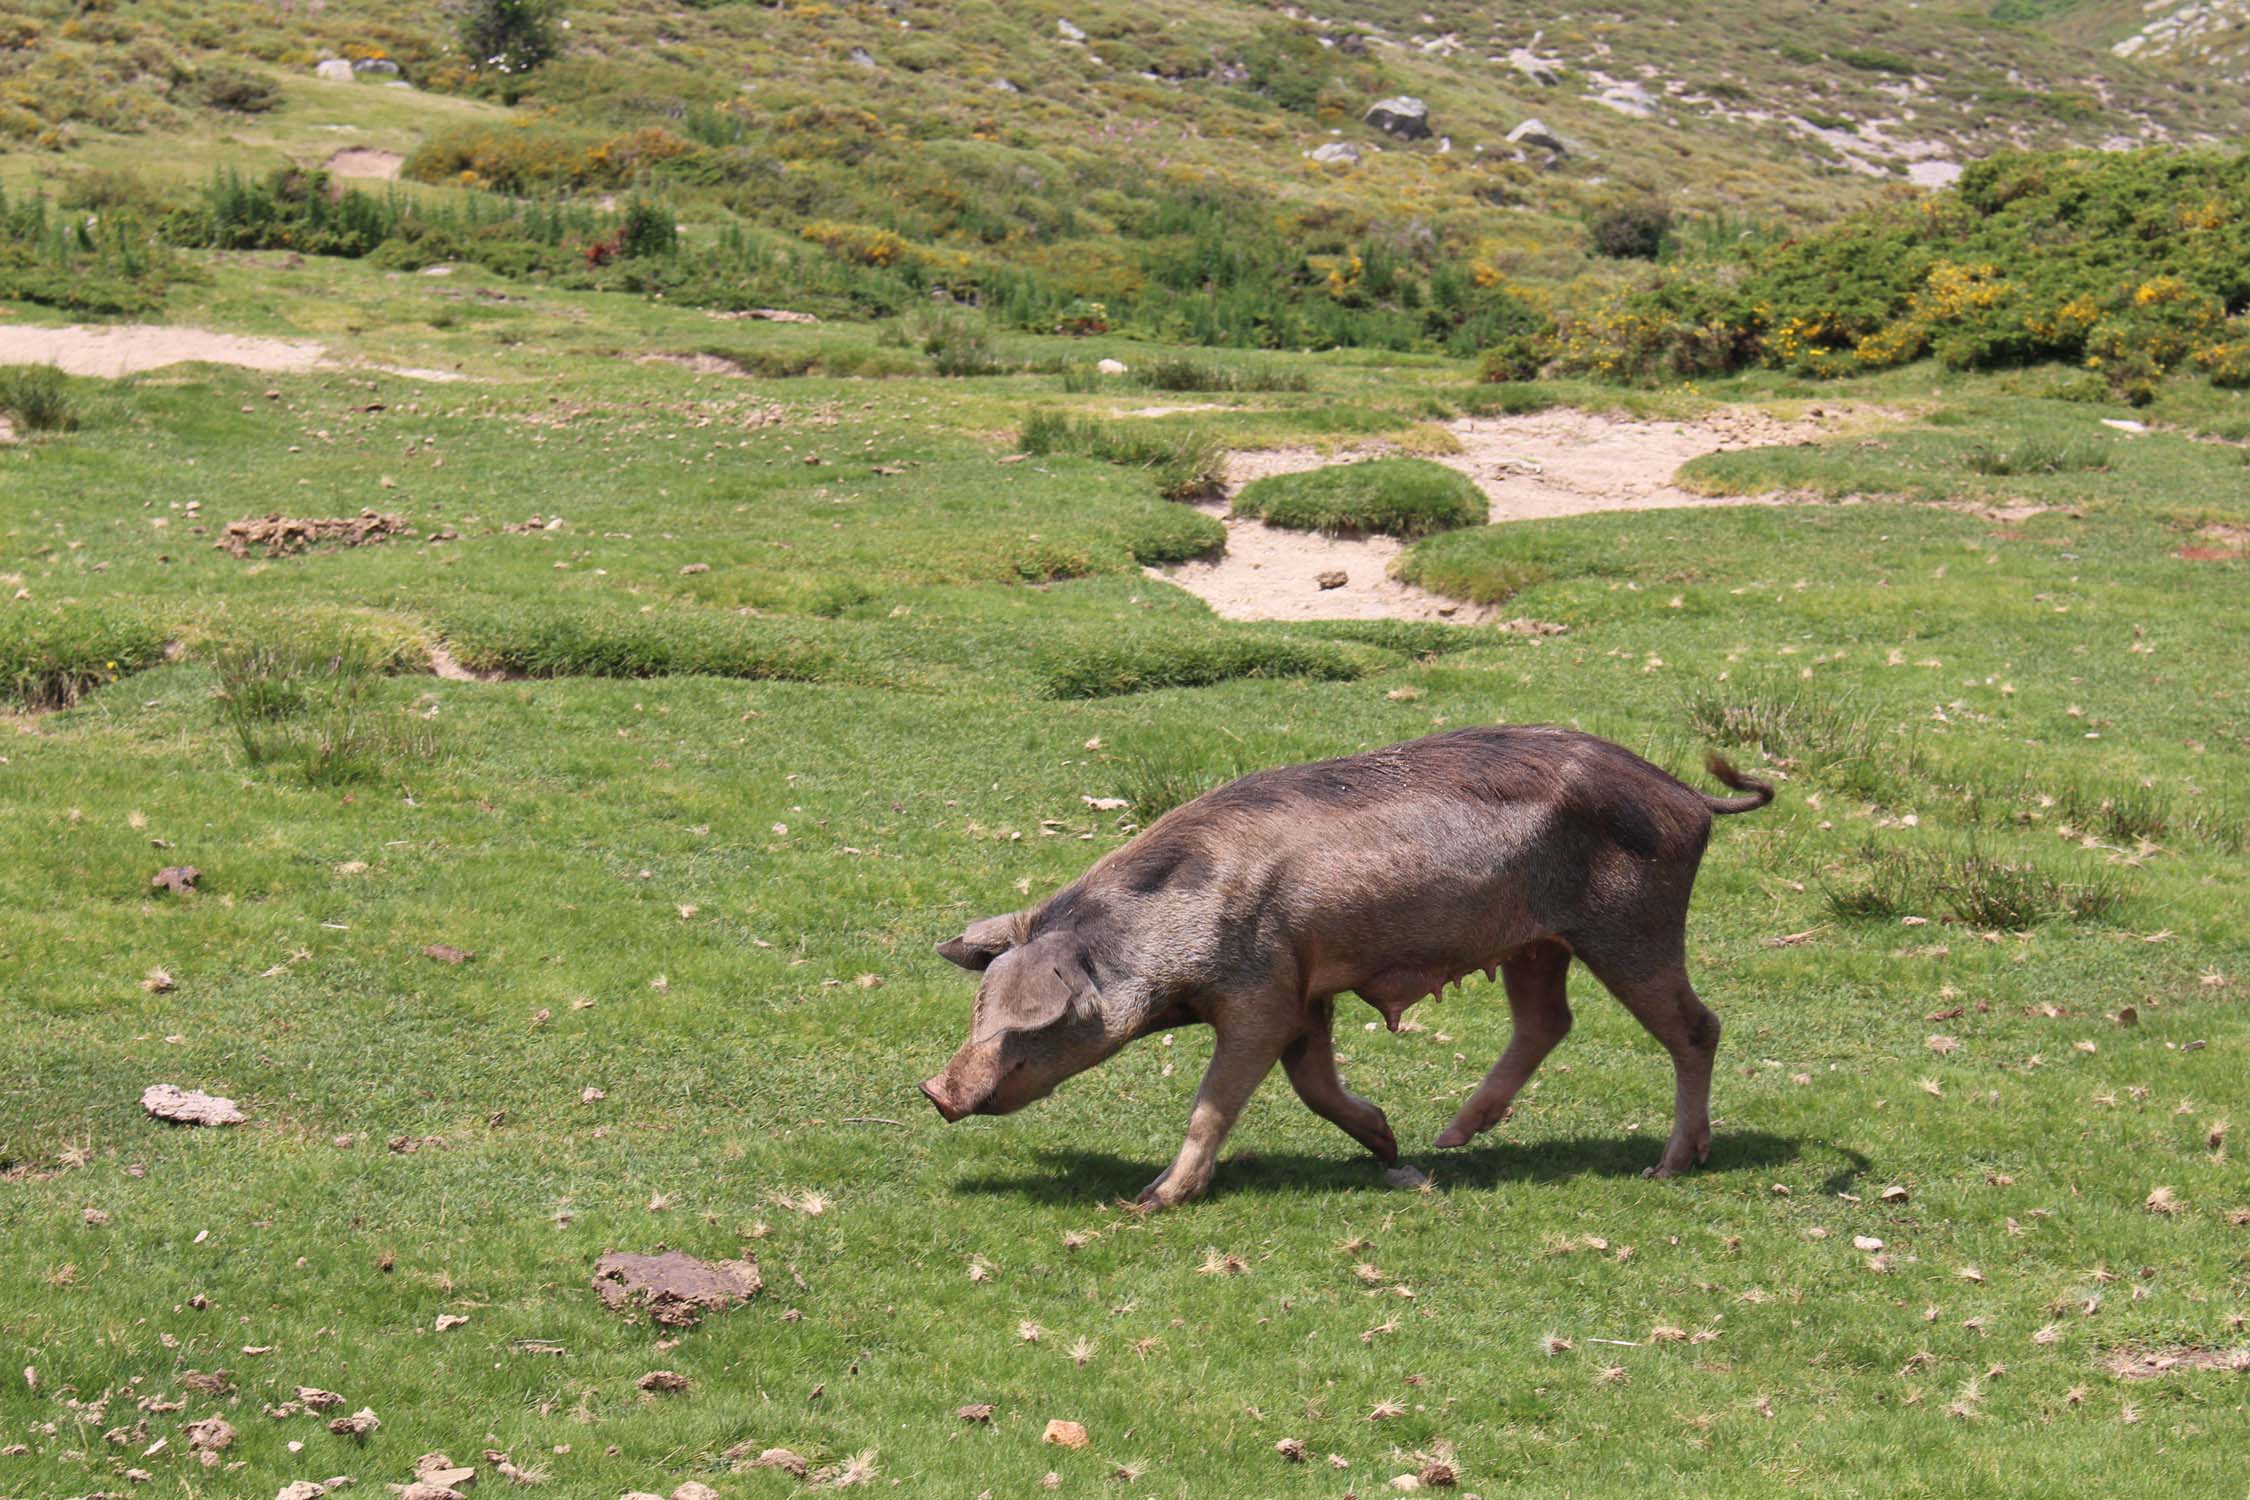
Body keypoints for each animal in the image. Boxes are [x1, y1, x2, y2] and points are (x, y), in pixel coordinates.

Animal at [922, 728, 1764, 1205]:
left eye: (1033, 1022)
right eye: (978, 1007)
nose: (936, 1090)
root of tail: (1688, 795)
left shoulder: (1262, 993)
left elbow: (1215, 1101)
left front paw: (1149, 1200)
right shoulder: (1306, 995)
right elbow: (1313, 1083)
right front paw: (1389, 1143)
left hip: (1631, 925)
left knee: (1698, 1027)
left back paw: (1667, 1169)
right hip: (1537, 942)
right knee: (1548, 1020)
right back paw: (1449, 1140)